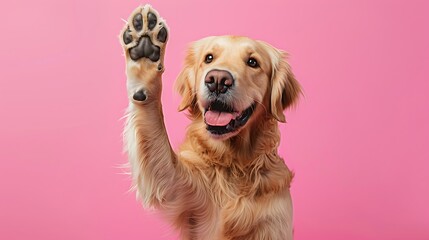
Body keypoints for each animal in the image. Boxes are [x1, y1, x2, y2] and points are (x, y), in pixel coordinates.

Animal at [120, 4, 300, 239]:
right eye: (209, 58)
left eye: (253, 62)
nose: (217, 80)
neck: (235, 163)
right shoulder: (179, 188)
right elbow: (155, 134)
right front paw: (144, 51)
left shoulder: (275, 225)